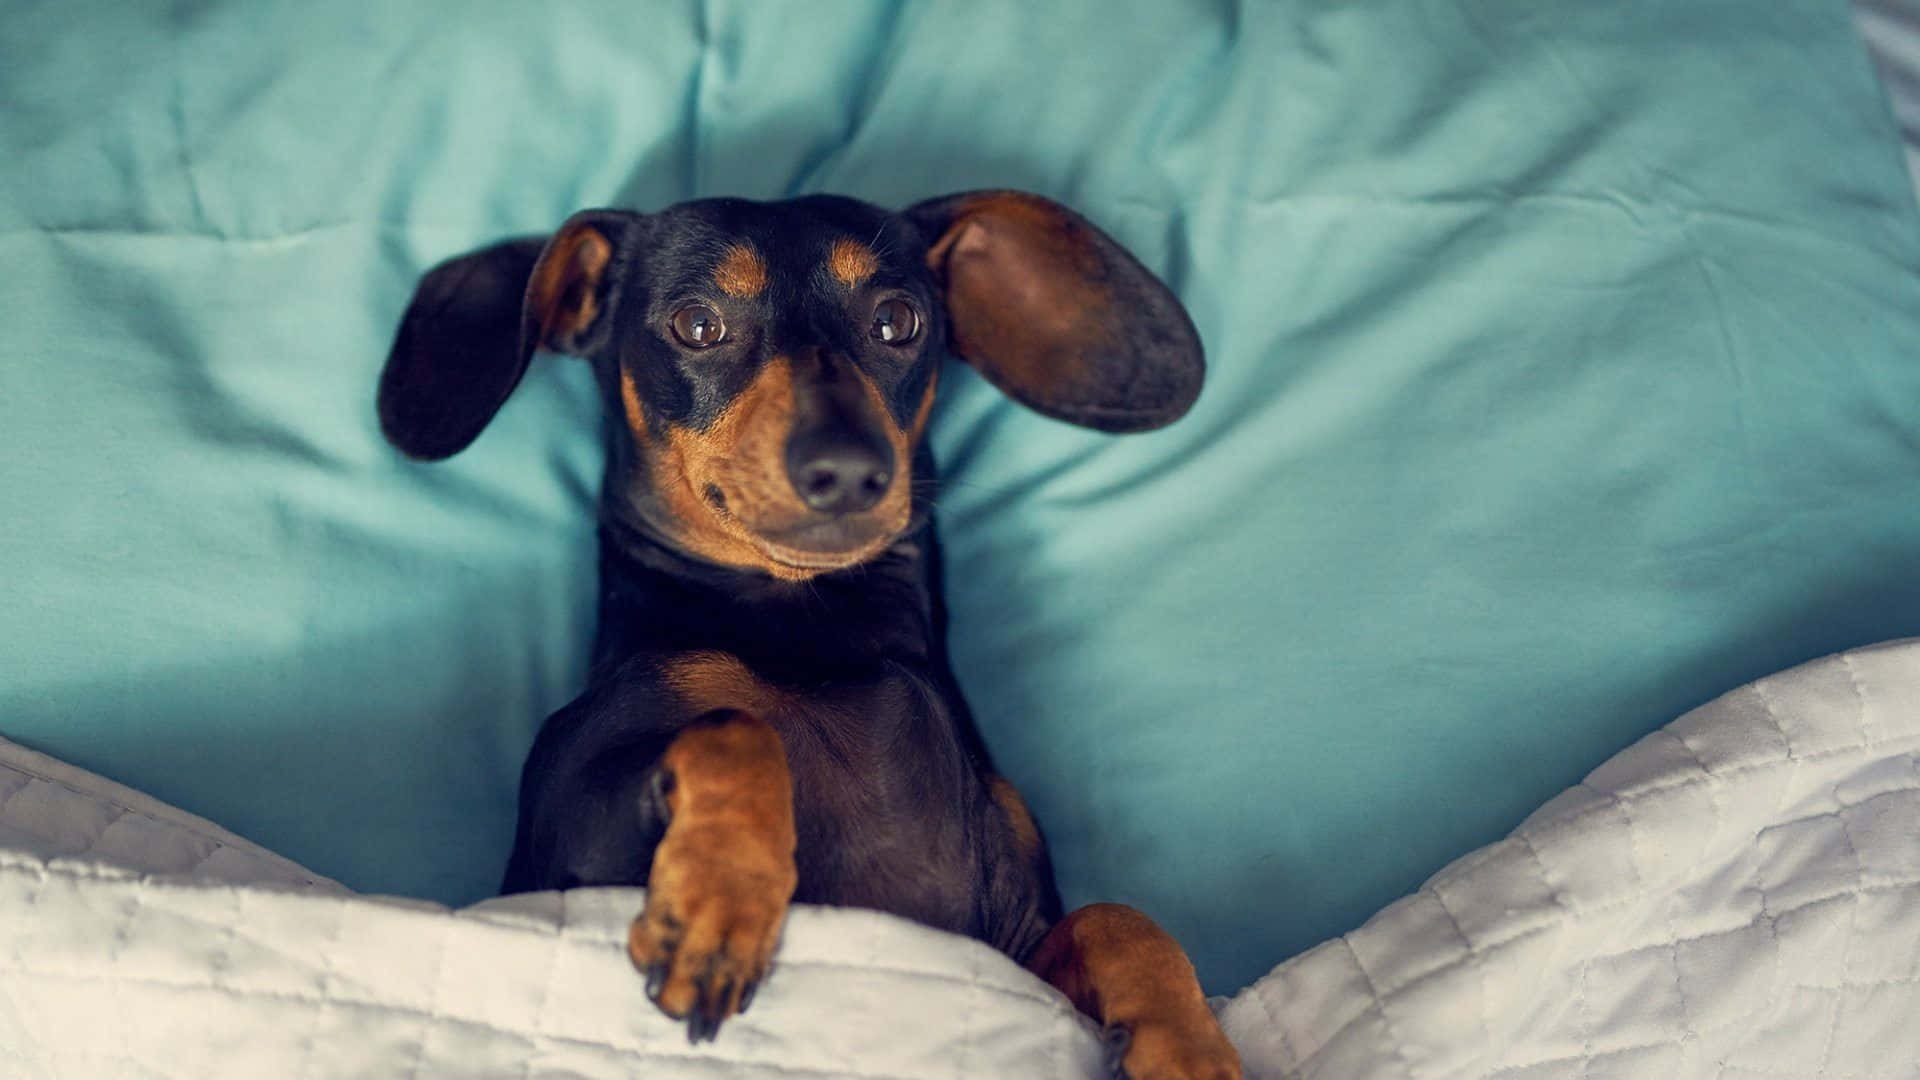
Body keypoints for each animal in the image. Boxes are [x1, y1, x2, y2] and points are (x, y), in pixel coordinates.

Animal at [380, 193, 1244, 1076]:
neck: (814, 628)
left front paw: (1187, 1045)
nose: (848, 471)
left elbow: (1118, 918)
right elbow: (735, 725)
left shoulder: (1011, 942)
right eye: (696, 324)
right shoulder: (559, 846)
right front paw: (720, 906)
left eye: (897, 319)